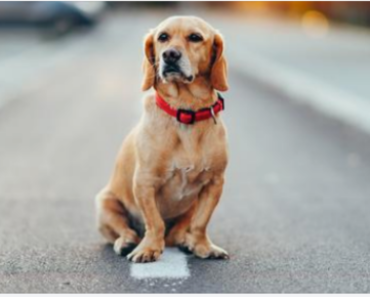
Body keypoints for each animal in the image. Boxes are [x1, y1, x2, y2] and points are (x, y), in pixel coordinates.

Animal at [95, 16, 228, 262]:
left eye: (195, 37)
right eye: (162, 37)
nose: (170, 55)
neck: (186, 110)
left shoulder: (214, 183)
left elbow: (201, 223)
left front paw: (203, 246)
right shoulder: (144, 182)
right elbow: (154, 222)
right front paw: (148, 249)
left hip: (191, 205)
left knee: (177, 233)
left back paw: (187, 242)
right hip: (105, 204)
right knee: (126, 230)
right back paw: (127, 242)